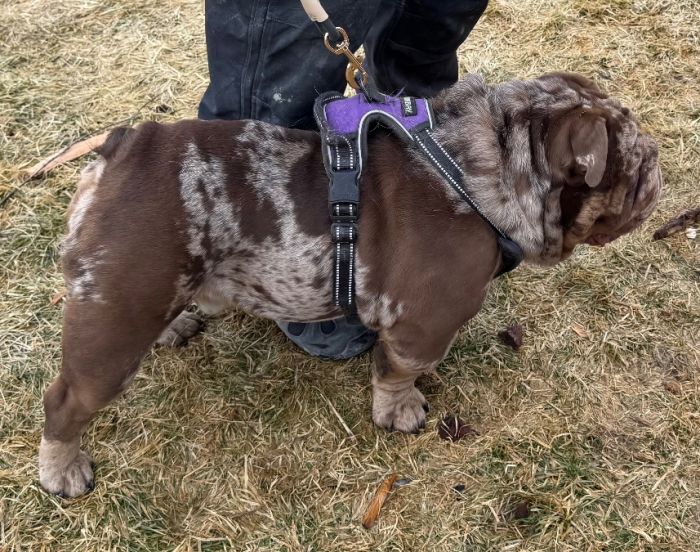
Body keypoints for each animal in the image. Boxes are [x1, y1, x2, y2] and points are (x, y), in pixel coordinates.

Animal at [38, 71, 660, 498]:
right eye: (634, 168)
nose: (659, 163)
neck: (483, 173)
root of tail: (122, 149)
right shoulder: (423, 327)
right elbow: (399, 373)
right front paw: (400, 411)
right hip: (113, 326)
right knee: (64, 402)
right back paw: (63, 469)